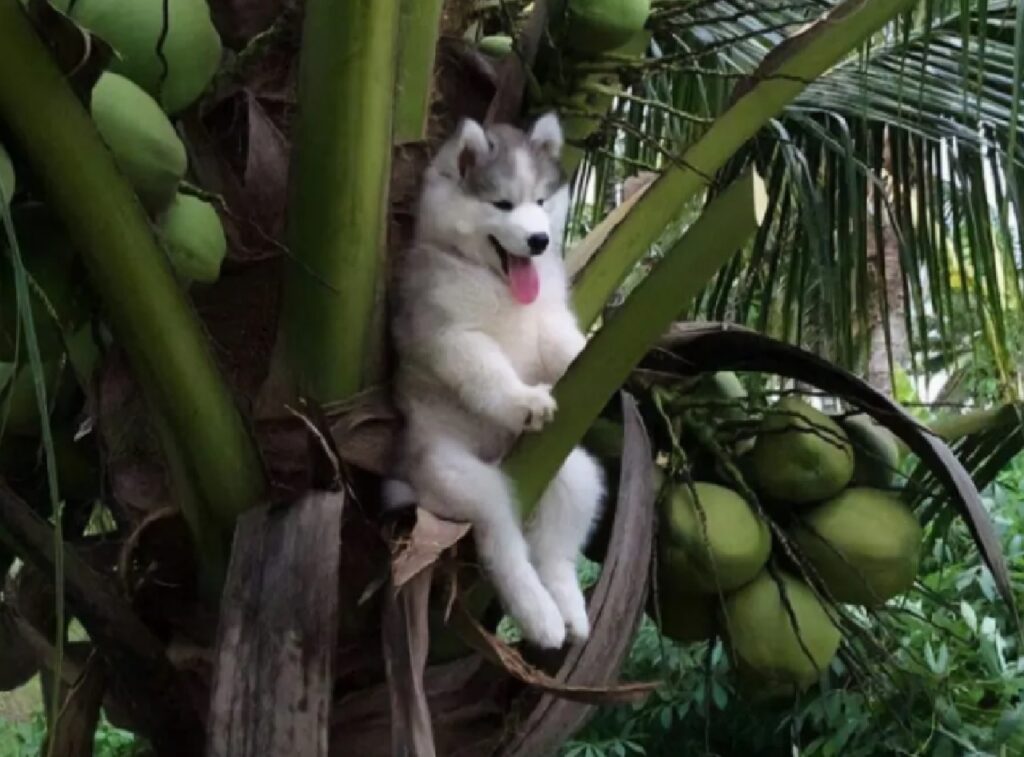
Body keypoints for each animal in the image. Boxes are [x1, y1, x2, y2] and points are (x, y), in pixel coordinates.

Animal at [387, 115, 602, 647]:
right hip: (457, 475)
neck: (497, 284)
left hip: (574, 472)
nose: (539, 241)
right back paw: (539, 614)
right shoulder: (451, 335)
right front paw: (523, 400)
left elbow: (565, 347)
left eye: (541, 201)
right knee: (502, 540)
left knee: (555, 548)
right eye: (502, 204)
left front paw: (592, 351)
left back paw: (568, 608)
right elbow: (488, 371)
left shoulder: (548, 321)